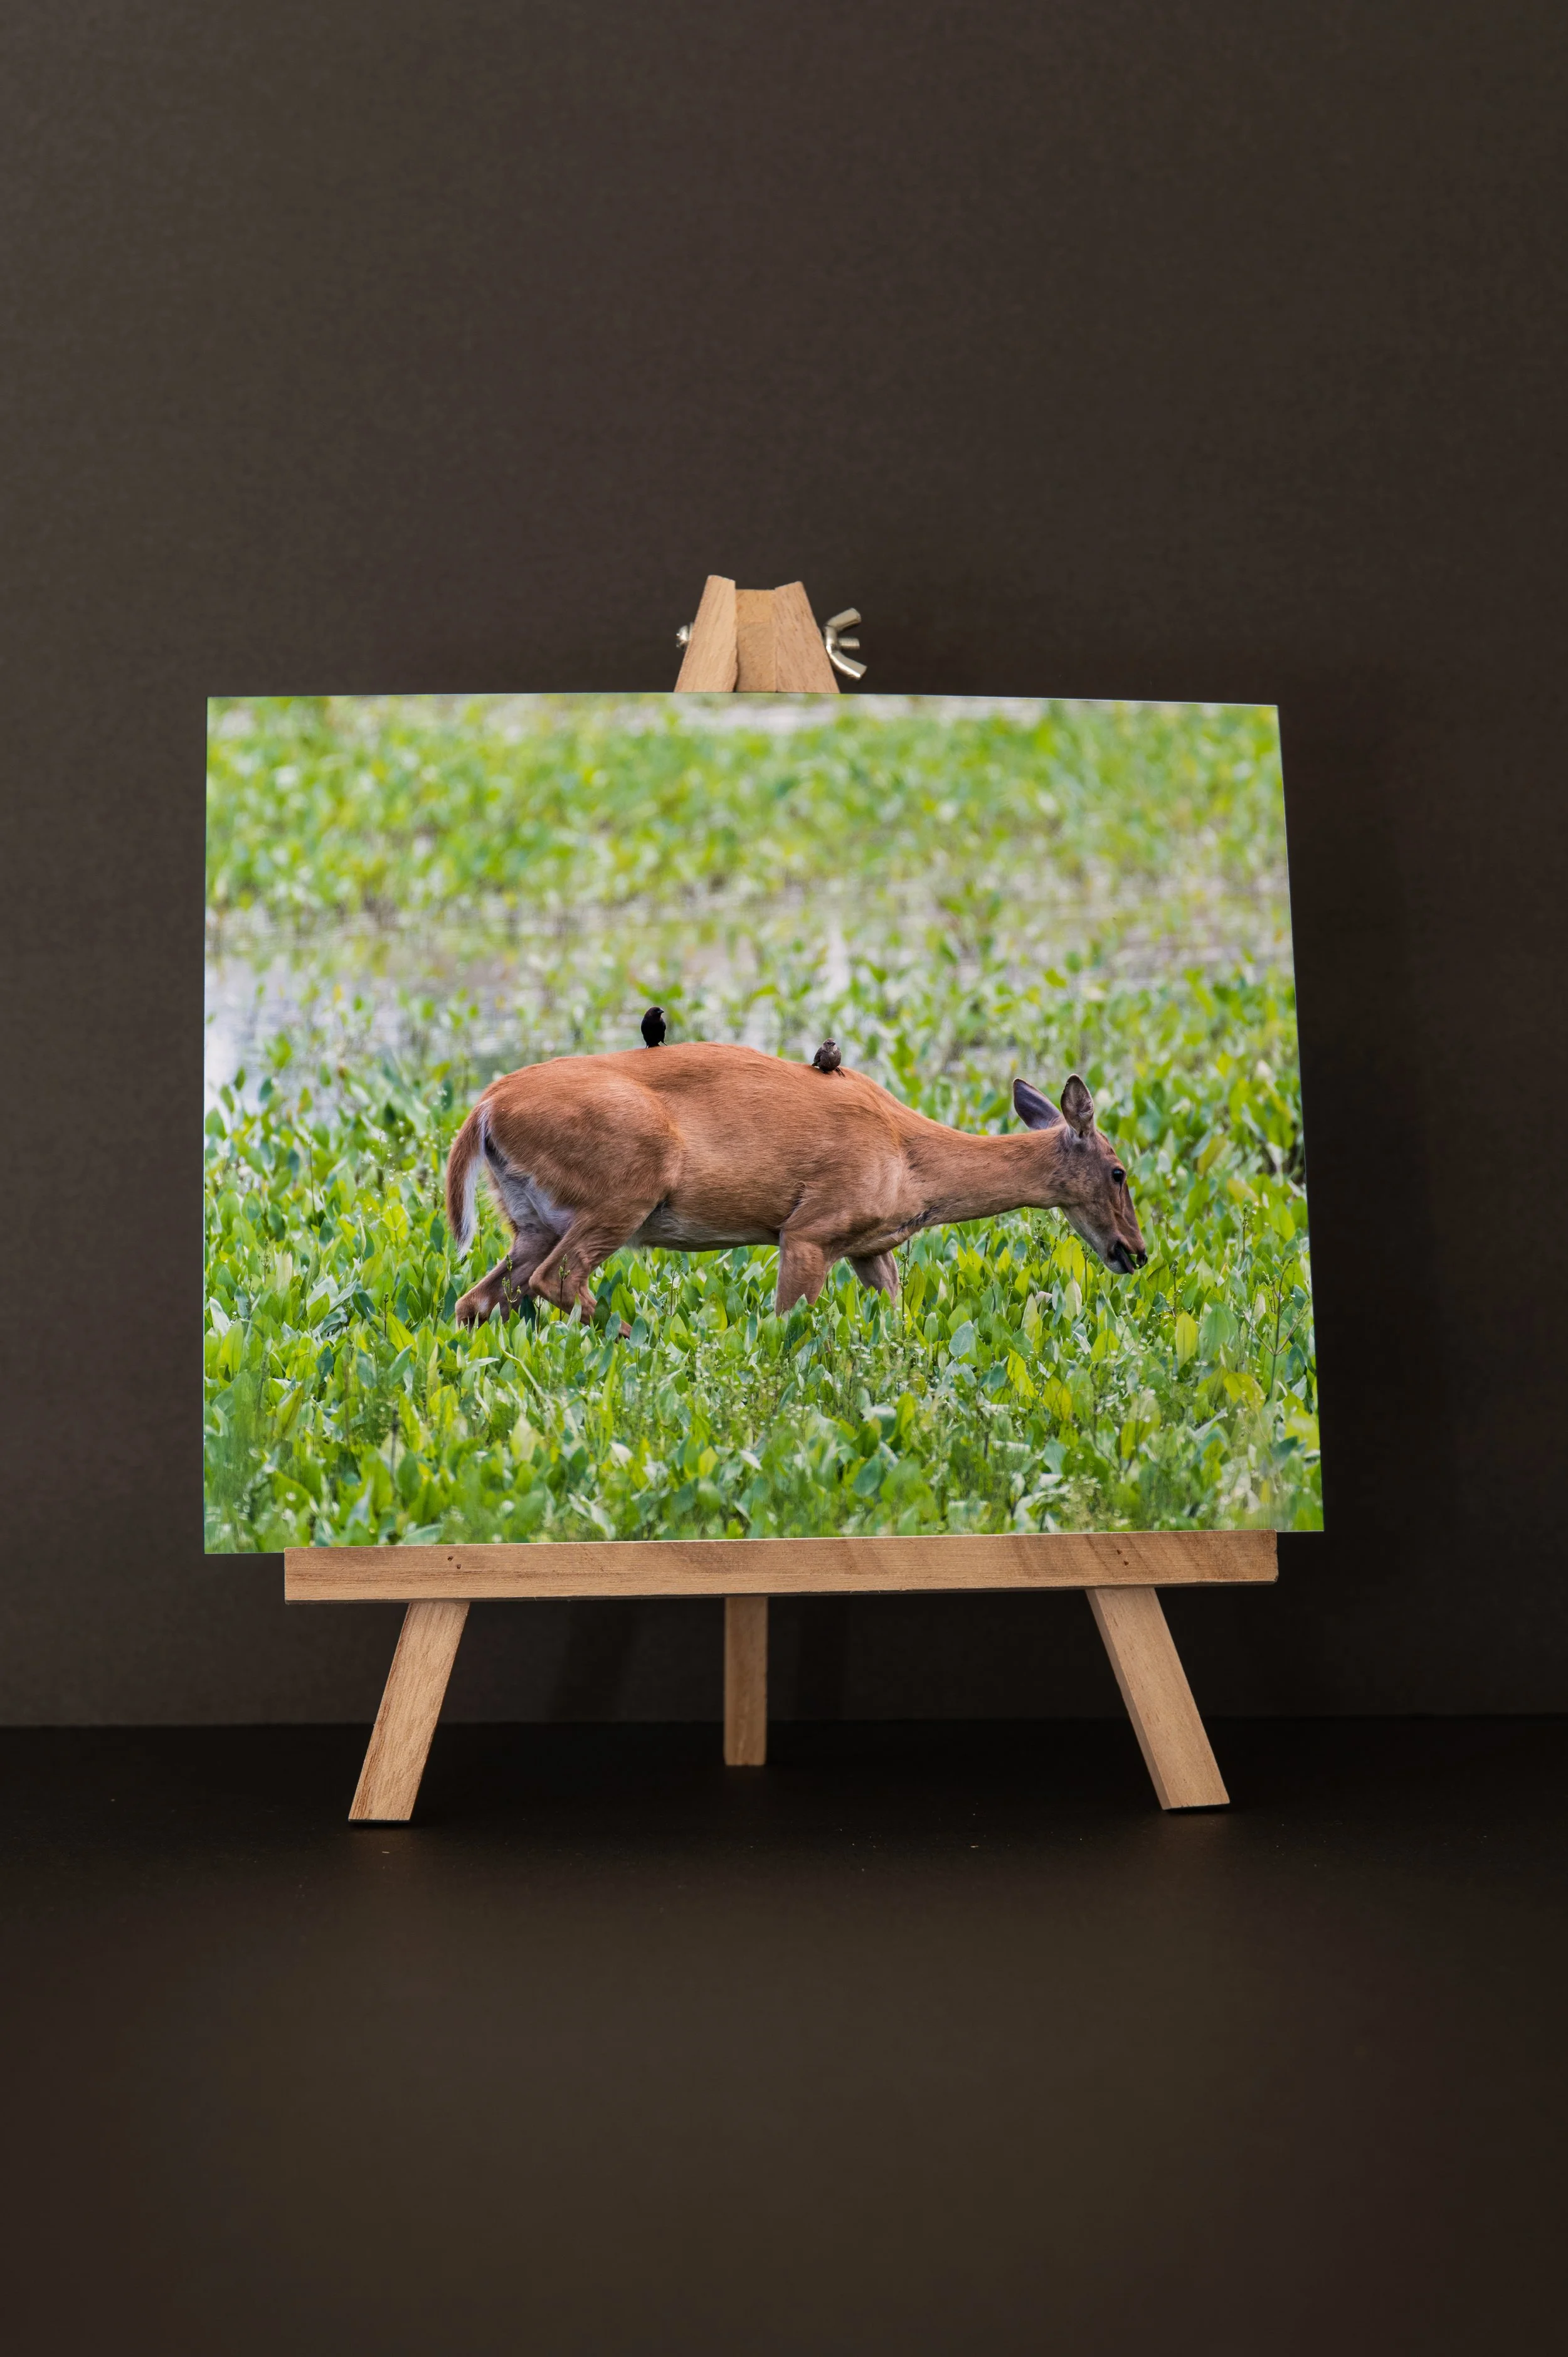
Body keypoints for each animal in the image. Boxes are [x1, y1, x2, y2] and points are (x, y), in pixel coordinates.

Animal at [445, 1042, 1147, 1327]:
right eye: (1119, 1171)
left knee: (477, 1299)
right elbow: (787, 1324)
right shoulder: (810, 1230)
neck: (911, 1161)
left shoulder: (868, 1247)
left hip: (533, 1219)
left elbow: (899, 1317)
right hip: (624, 1188)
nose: (1136, 1253)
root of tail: (485, 1107)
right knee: (559, 1282)